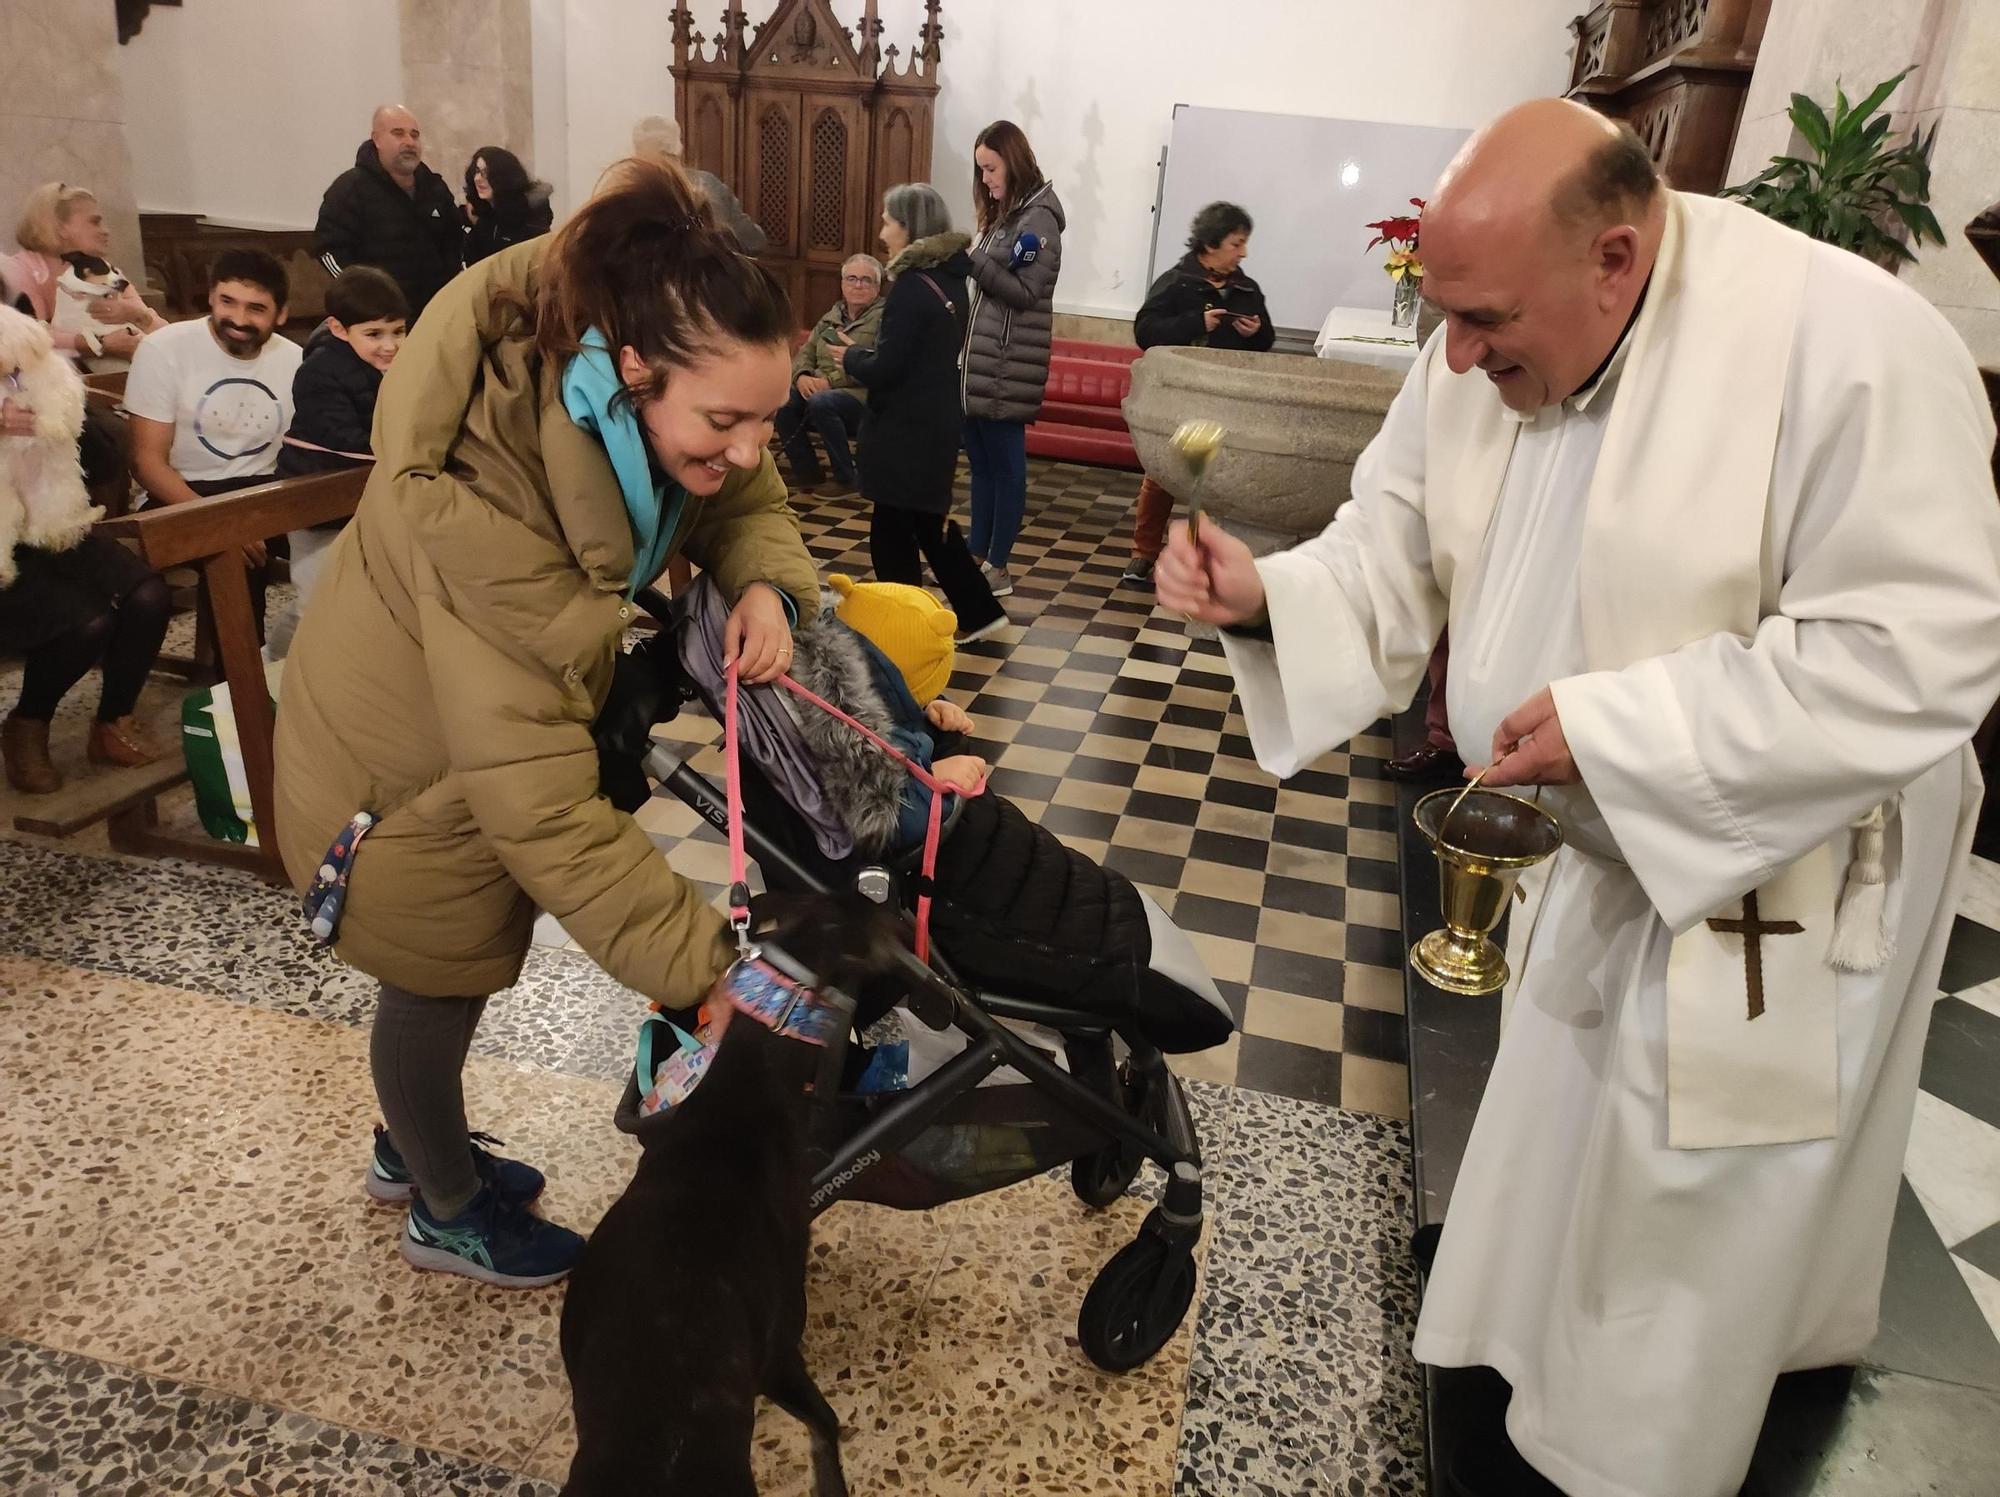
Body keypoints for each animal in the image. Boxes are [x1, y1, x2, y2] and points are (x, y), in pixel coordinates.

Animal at [0, 300, 99, 588]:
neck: (8, 380)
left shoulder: (59, 386)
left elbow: (53, 400)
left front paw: (53, 428)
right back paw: (4, 572)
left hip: (55, 496)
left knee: (48, 530)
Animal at [564, 900, 908, 1496]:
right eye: (870, 914)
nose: (907, 919)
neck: (744, 1089)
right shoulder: (778, 1348)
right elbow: (826, 1423)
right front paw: (830, 1480)